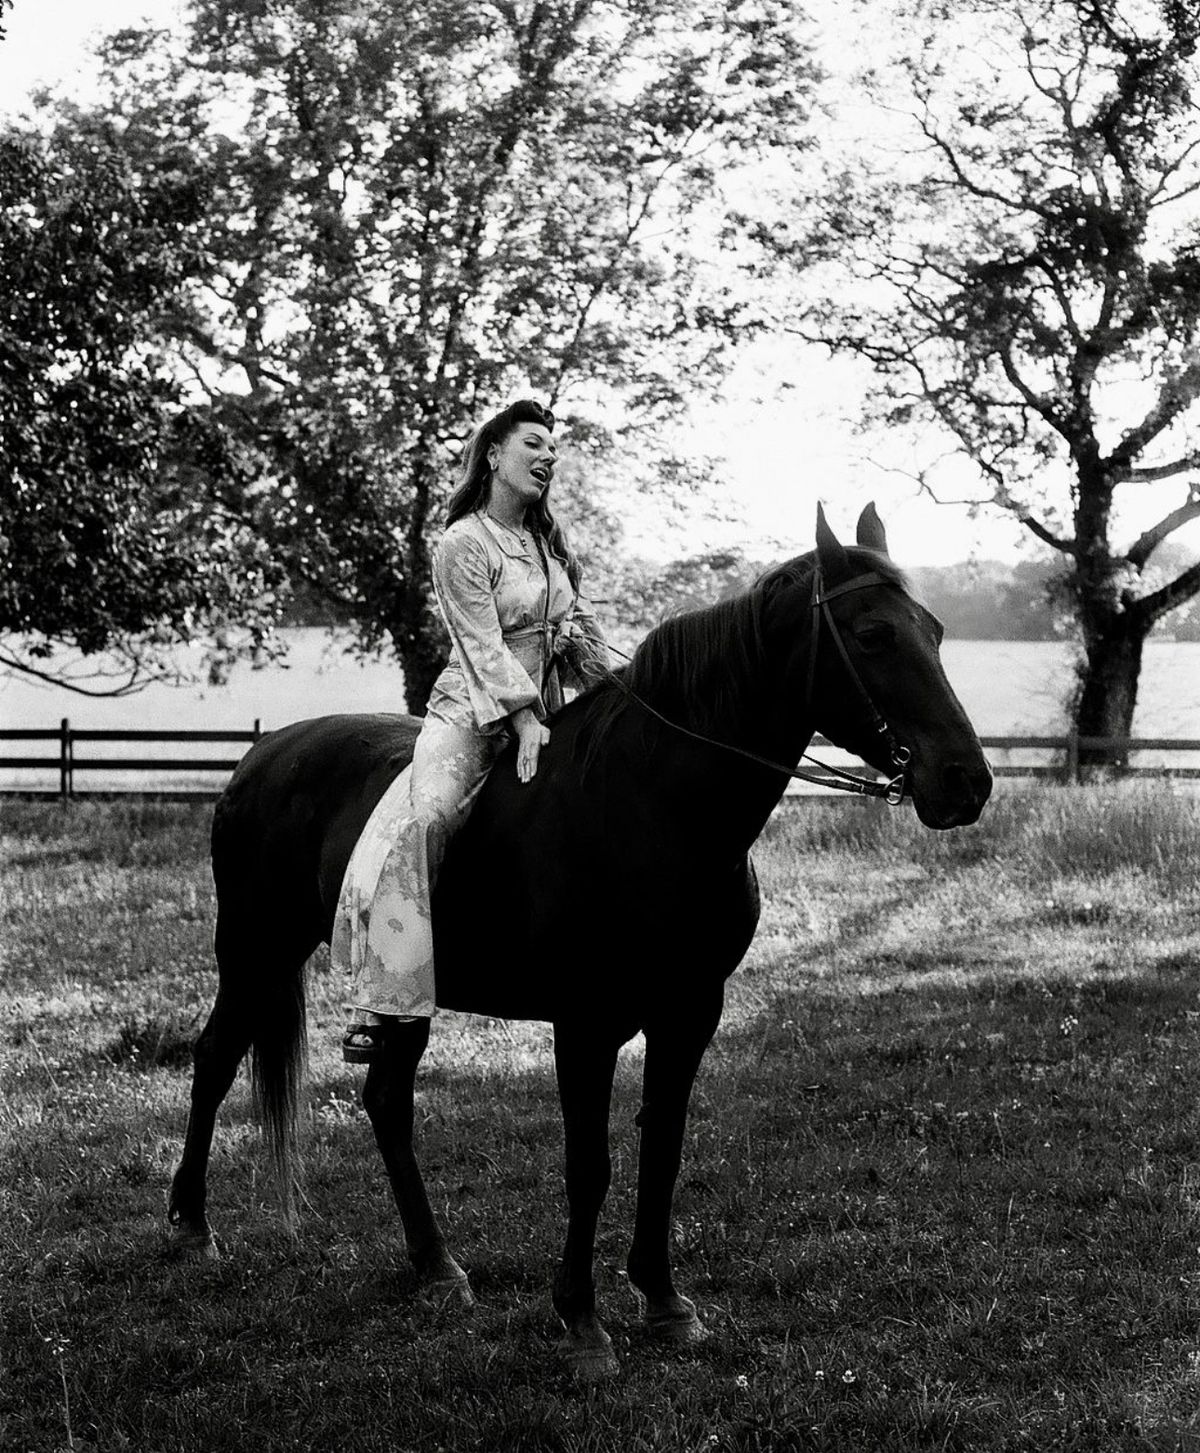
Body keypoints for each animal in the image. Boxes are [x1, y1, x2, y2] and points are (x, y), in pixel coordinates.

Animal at [170, 505, 993, 1377]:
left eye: (935, 630)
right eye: (872, 634)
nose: (966, 780)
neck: (653, 802)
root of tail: (261, 755)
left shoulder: (689, 1012)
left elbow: (662, 1146)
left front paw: (664, 1299)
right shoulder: (587, 1024)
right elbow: (589, 1164)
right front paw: (582, 1319)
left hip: (401, 988)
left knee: (386, 1100)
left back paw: (436, 1266)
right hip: (254, 953)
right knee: (215, 1060)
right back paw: (190, 1225)